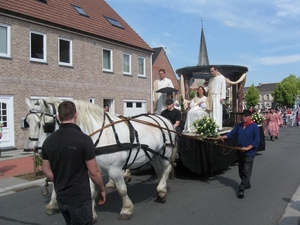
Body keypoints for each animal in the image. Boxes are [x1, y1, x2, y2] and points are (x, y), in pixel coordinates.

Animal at [25, 97, 177, 221]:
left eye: (46, 125)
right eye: (27, 123)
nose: (36, 149)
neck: (99, 134)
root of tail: (164, 119)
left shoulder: (115, 169)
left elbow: (122, 189)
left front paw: (126, 209)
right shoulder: (88, 169)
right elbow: (90, 192)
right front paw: (91, 214)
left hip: (165, 151)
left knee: (167, 168)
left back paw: (161, 191)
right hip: (153, 154)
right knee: (159, 171)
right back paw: (161, 188)